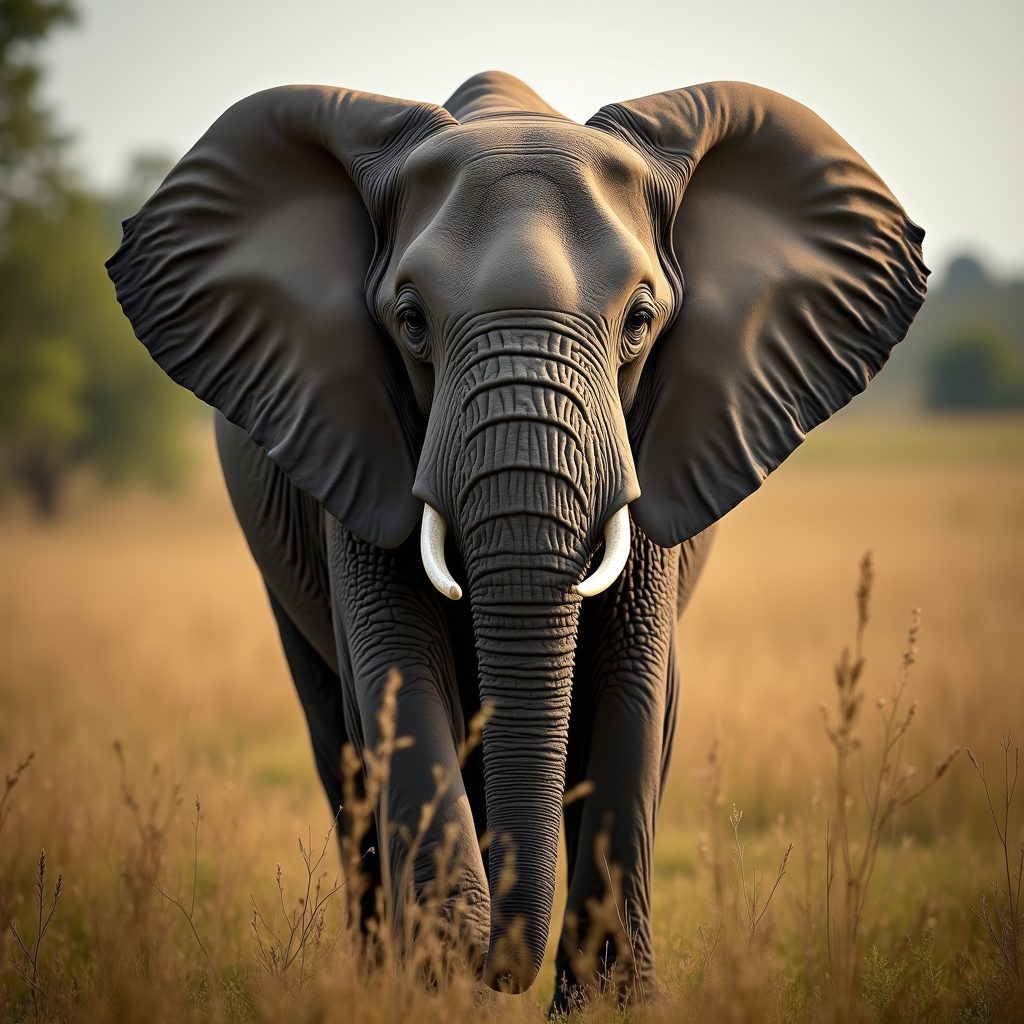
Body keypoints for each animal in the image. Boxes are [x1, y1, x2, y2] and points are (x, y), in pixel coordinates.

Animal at [106, 71, 926, 998]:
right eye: (411, 321)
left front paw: (606, 1002)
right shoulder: (358, 446)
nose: (493, 956)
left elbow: (632, 689)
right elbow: (396, 673)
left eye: (639, 320)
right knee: (337, 745)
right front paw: (434, 973)